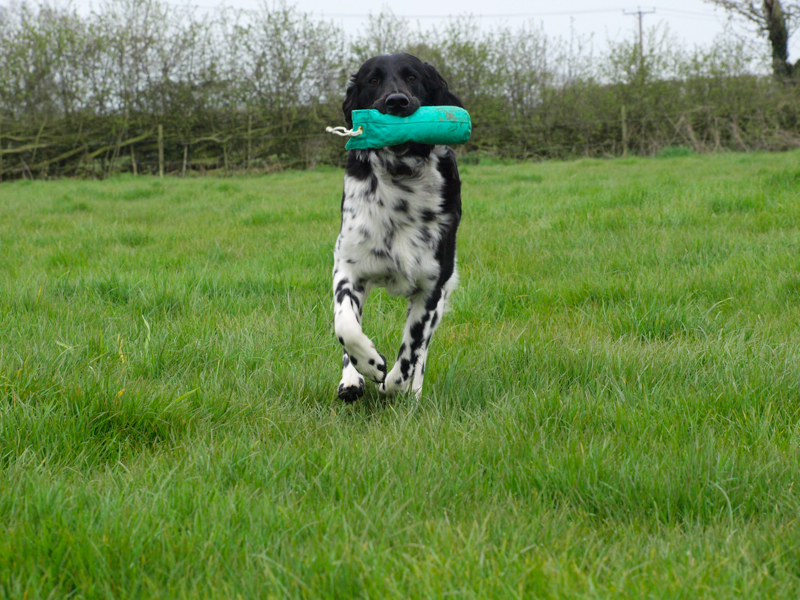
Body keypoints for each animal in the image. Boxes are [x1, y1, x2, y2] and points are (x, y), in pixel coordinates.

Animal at [332, 55, 466, 404]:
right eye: (372, 80)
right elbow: (345, 327)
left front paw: (395, 383)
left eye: (413, 77)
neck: (400, 176)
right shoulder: (348, 268)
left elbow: (412, 348)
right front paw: (370, 364)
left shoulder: (431, 286)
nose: (396, 101)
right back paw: (352, 380)